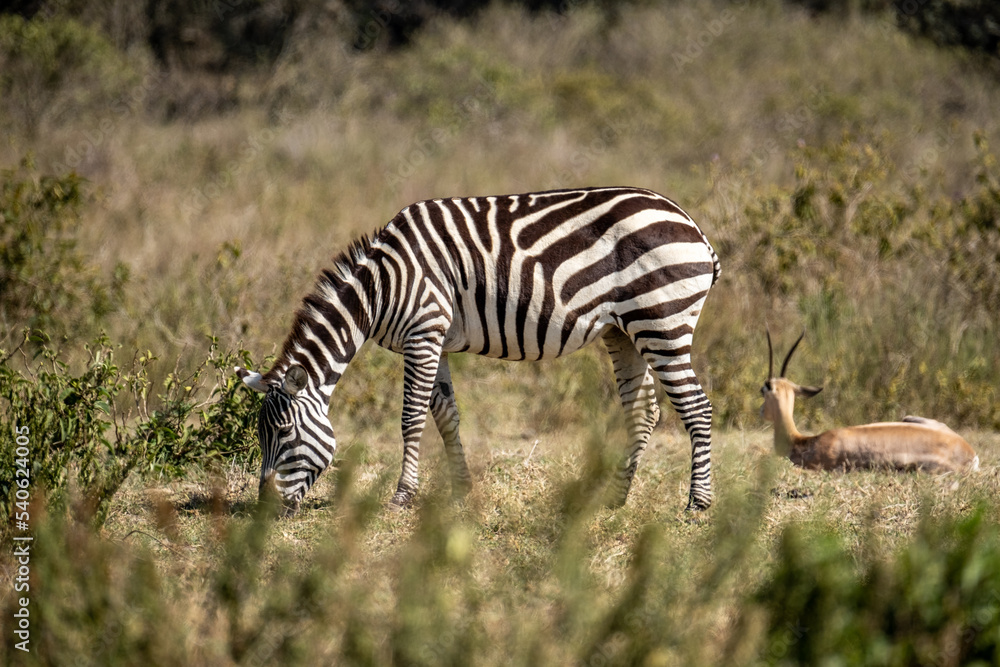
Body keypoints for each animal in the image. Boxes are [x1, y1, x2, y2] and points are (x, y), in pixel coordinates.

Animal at [236, 186, 721, 514]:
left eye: (283, 433)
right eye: (260, 434)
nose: (262, 510)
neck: (382, 287)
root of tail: (692, 225)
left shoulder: (424, 330)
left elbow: (411, 418)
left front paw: (402, 496)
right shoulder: (435, 340)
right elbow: (446, 416)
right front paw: (461, 489)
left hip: (662, 322)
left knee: (697, 407)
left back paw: (697, 504)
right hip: (624, 330)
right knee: (643, 411)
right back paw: (615, 499)